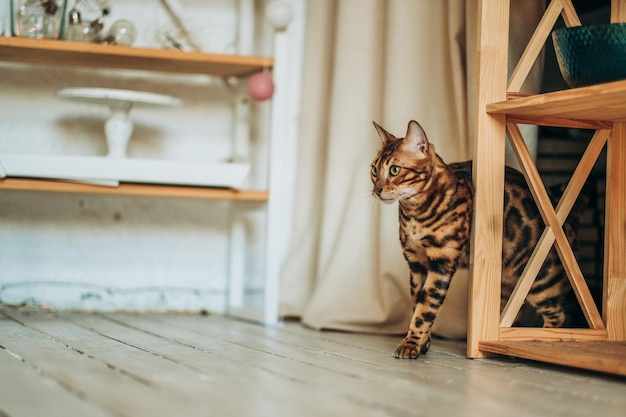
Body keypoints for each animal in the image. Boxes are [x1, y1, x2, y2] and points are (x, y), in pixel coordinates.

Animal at [370, 118, 584, 356]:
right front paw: (422, 343)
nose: (377, 190)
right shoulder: (416, 263)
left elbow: (426, 308)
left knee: (558, 315)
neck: (415, 214)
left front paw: (411, 344)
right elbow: (418, 303)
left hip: (541, 281)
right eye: (374, 170)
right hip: (507, 284)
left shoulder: (442, 261)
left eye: (394, 170)